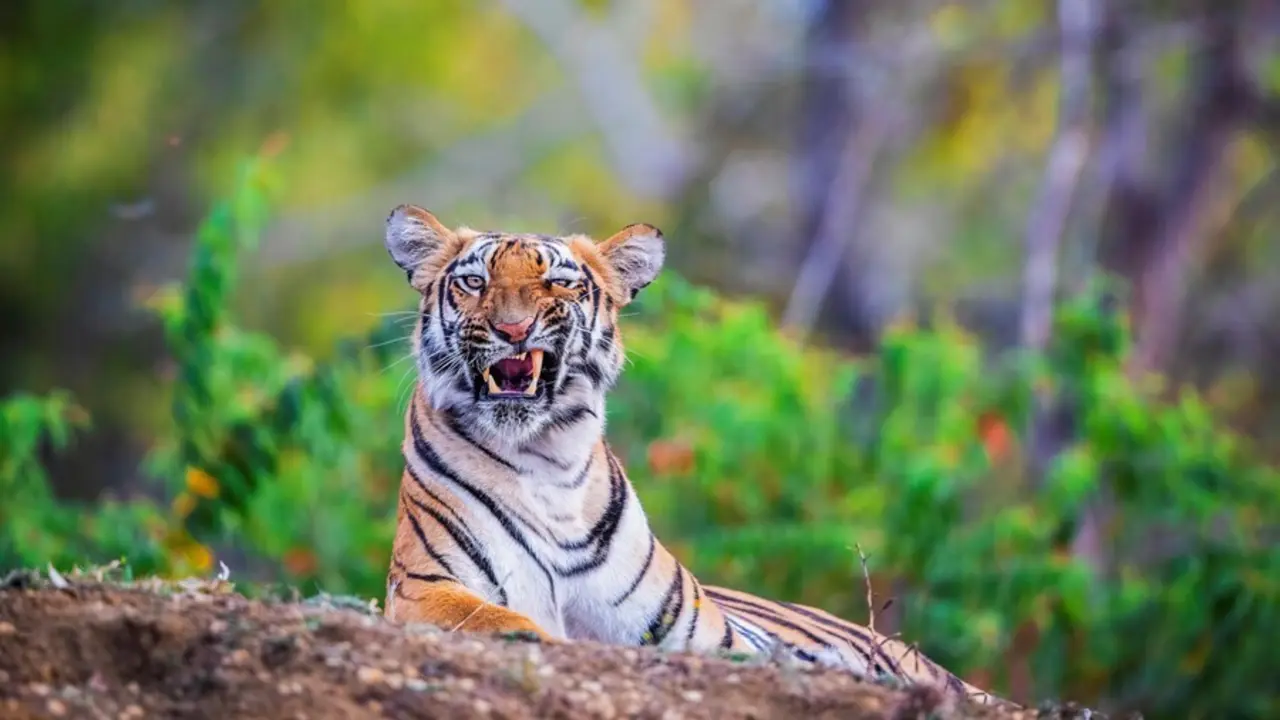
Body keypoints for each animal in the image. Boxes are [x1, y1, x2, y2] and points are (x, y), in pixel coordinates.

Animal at [380, 203, 1009, 708]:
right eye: (474, 281)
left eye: (558, 283)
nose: (513, 329)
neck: (546, 460)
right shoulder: (425, 587)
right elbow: (501, 617)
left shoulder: (702, 633)